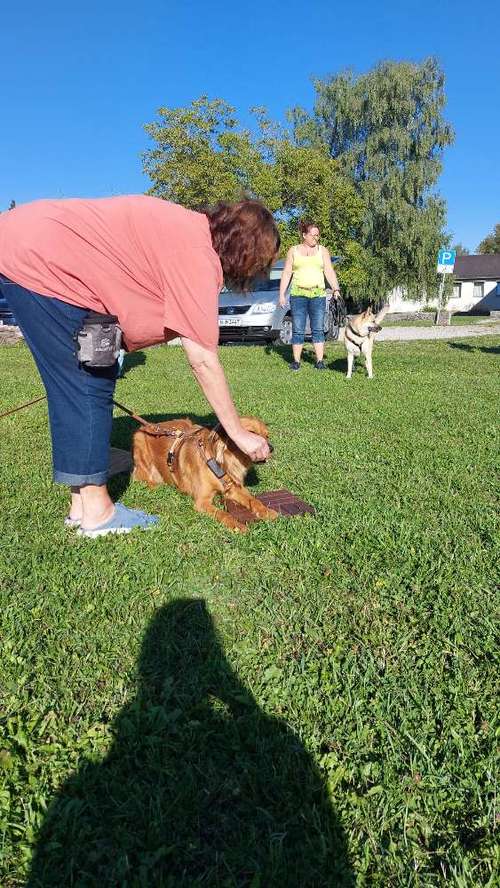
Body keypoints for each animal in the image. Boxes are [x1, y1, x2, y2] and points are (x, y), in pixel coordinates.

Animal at [131, 414, 280, 532]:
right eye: (252, 433)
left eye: (267, 436)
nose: (271, 448)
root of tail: (150, 426)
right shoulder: (202, 502)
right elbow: (223, 514)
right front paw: (237, 526)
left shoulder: (233, 488)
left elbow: (253, 500)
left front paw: (266, 511)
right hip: (141, 448)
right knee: (140, 477)